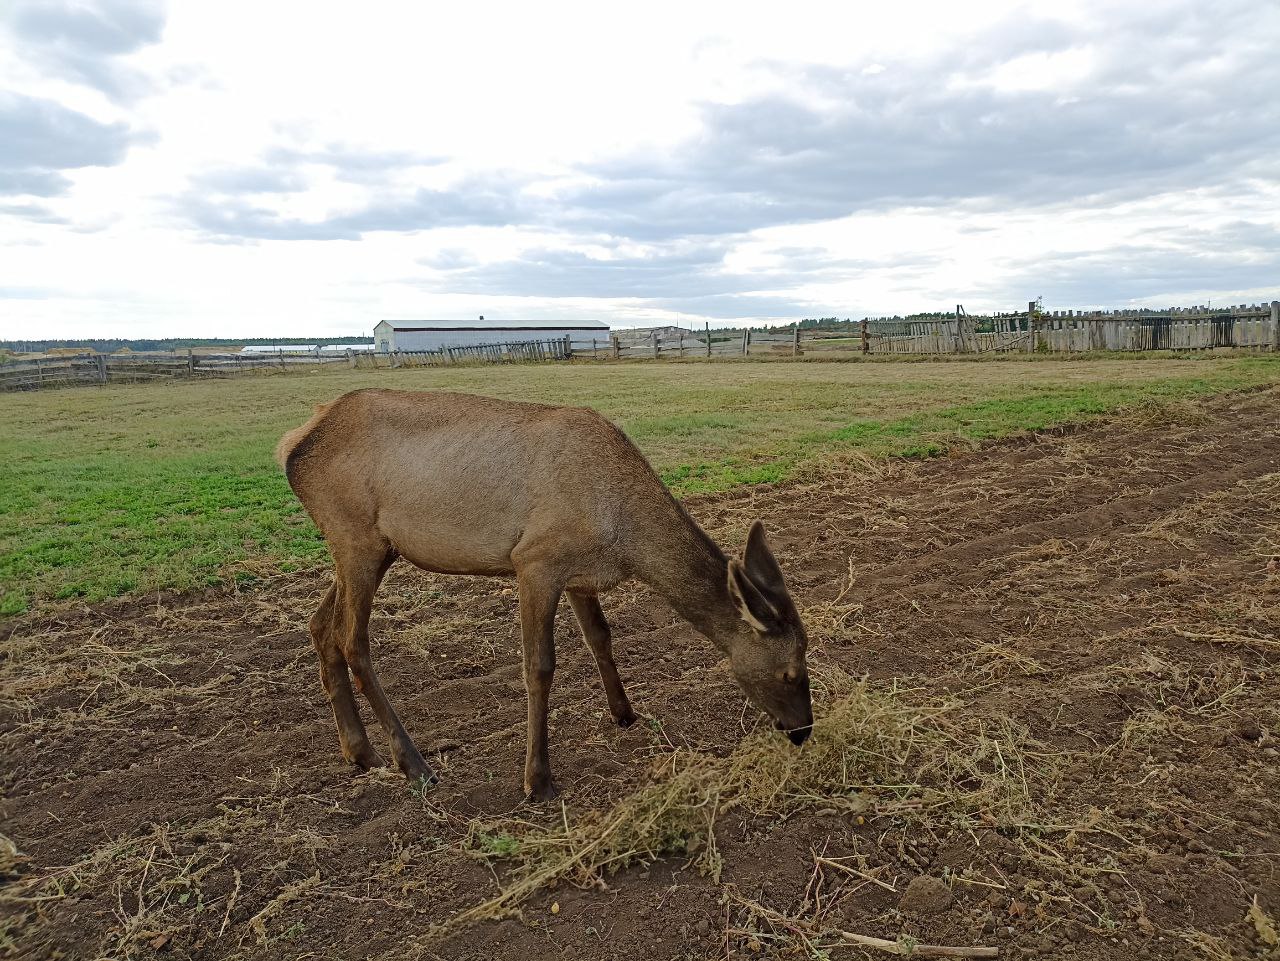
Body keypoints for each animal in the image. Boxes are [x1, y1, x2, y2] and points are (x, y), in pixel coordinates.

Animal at [276, 386, 814, 798]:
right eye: (789, 672)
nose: (803, 731)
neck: (622, 537)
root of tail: (290, 445)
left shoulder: (578, 575)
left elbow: (601, 637)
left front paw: (624, 712)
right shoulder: (535, 561)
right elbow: (539, 666)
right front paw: (537, 779)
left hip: (372, 547)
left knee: (320, 625)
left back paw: (360, 751)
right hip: (355, 537)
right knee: (352, 640)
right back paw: (414, 764)